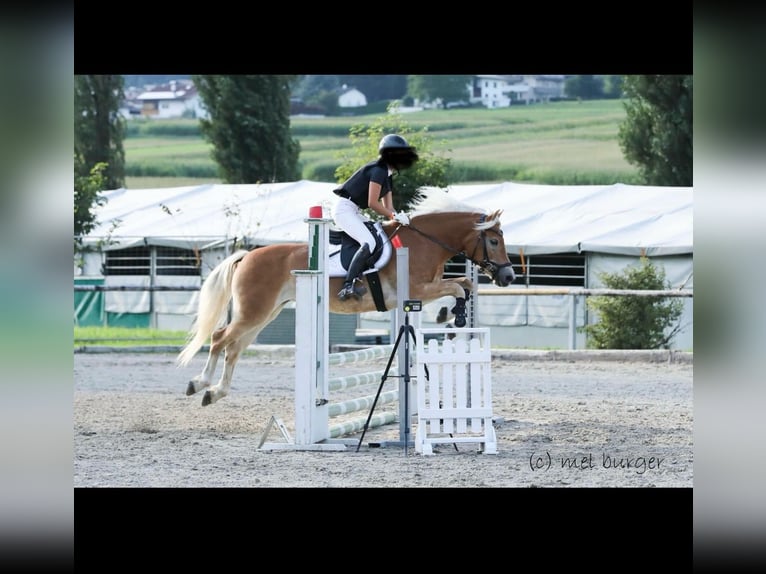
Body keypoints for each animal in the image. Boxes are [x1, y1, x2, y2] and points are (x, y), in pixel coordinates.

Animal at [177, 187, 520, 408]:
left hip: (265, 313)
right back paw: (199, 384)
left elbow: (465, 284)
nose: (508, 277)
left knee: (234, 348)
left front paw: (451, 316)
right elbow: (459, 287)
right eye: (493, 241)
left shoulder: (428, 287)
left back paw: (215, 392)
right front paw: (454, 315)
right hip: (254, 312)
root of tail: (247, 256)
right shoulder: (417, 290)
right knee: (220, 338)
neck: (425, 242)